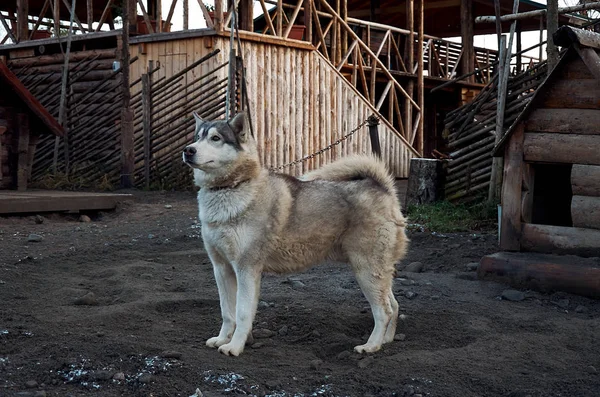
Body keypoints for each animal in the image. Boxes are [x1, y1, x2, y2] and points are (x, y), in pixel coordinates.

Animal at [183, 110, 408, 356]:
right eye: (197, 137)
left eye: (215, 138)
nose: (188, 150)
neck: (231, 188)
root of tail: (382, 187)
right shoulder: (221, 268)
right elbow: (227, 312)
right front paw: (223, 339)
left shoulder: (246, 268)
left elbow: (242, 313)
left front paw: (234, 346)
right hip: (376, 272)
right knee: (394, 305)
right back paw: (386, 340)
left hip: (366, 270)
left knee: (384, 311)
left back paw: (371, 345)